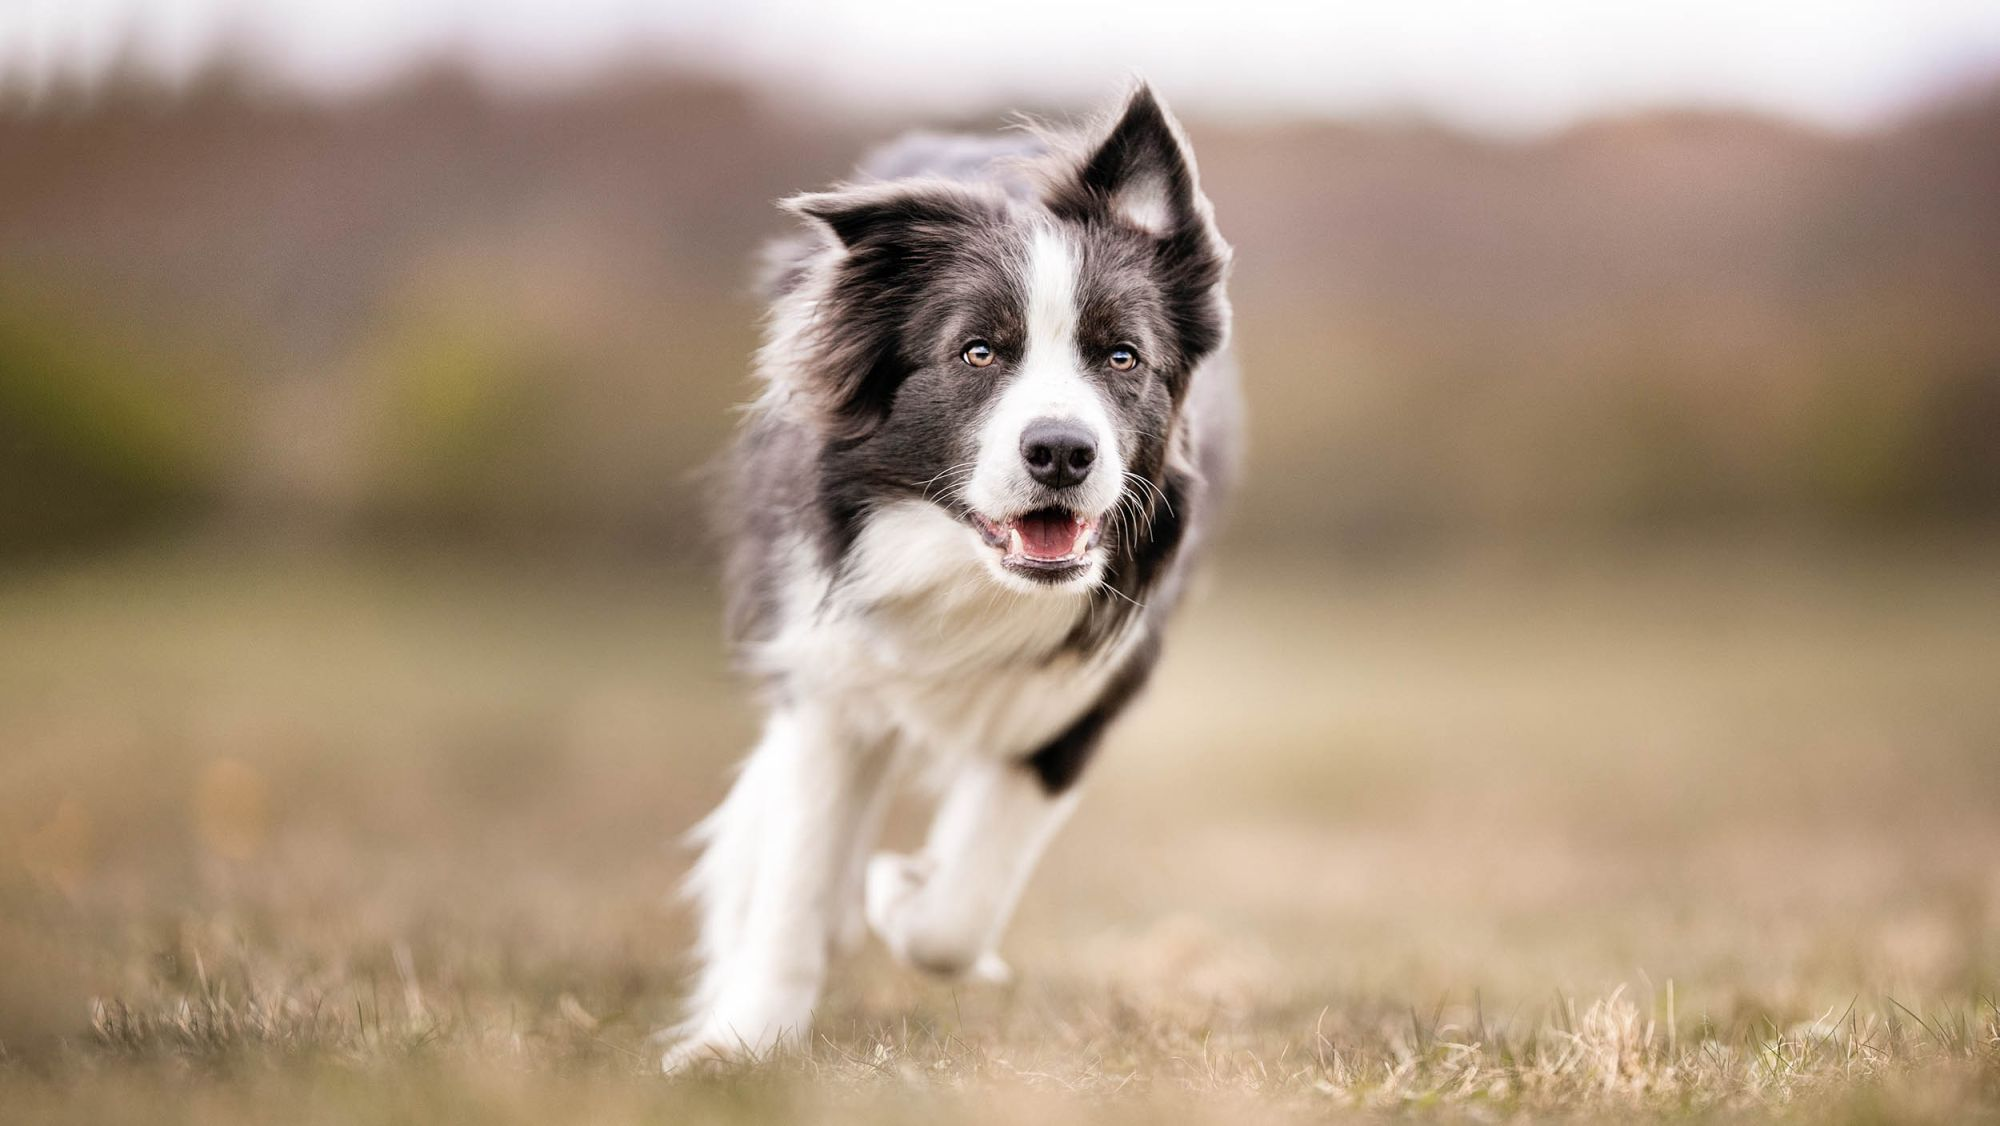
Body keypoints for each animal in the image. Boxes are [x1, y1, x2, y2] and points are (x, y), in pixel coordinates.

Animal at [668, 83, 1232, 1072]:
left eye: (1122, 356)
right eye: (978, 352)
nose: (1061, 451)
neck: (968, 575)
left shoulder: (1085, 694)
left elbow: (960, 910)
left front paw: (901, 893)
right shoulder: (826, 669)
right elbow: (795, 868)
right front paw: (741, 1044)